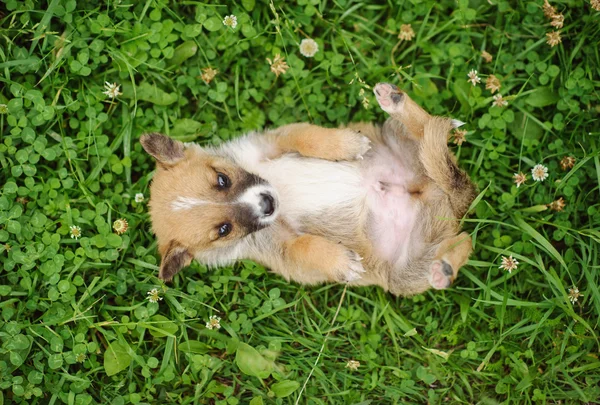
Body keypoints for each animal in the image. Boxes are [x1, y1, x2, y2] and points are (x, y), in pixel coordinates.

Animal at [142, 83, 478, 296]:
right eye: (224, 230)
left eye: (222, 179)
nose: (268, 203)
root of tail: (444, 196)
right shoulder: (281, 247)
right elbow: (305, 247)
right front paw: (341, 262)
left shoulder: (276, 140)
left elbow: (308, 137)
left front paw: (348, 145)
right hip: (407, 272)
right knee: (464, 241)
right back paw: (444, 268)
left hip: (398, 138)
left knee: (427, 127)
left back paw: (395, 100)